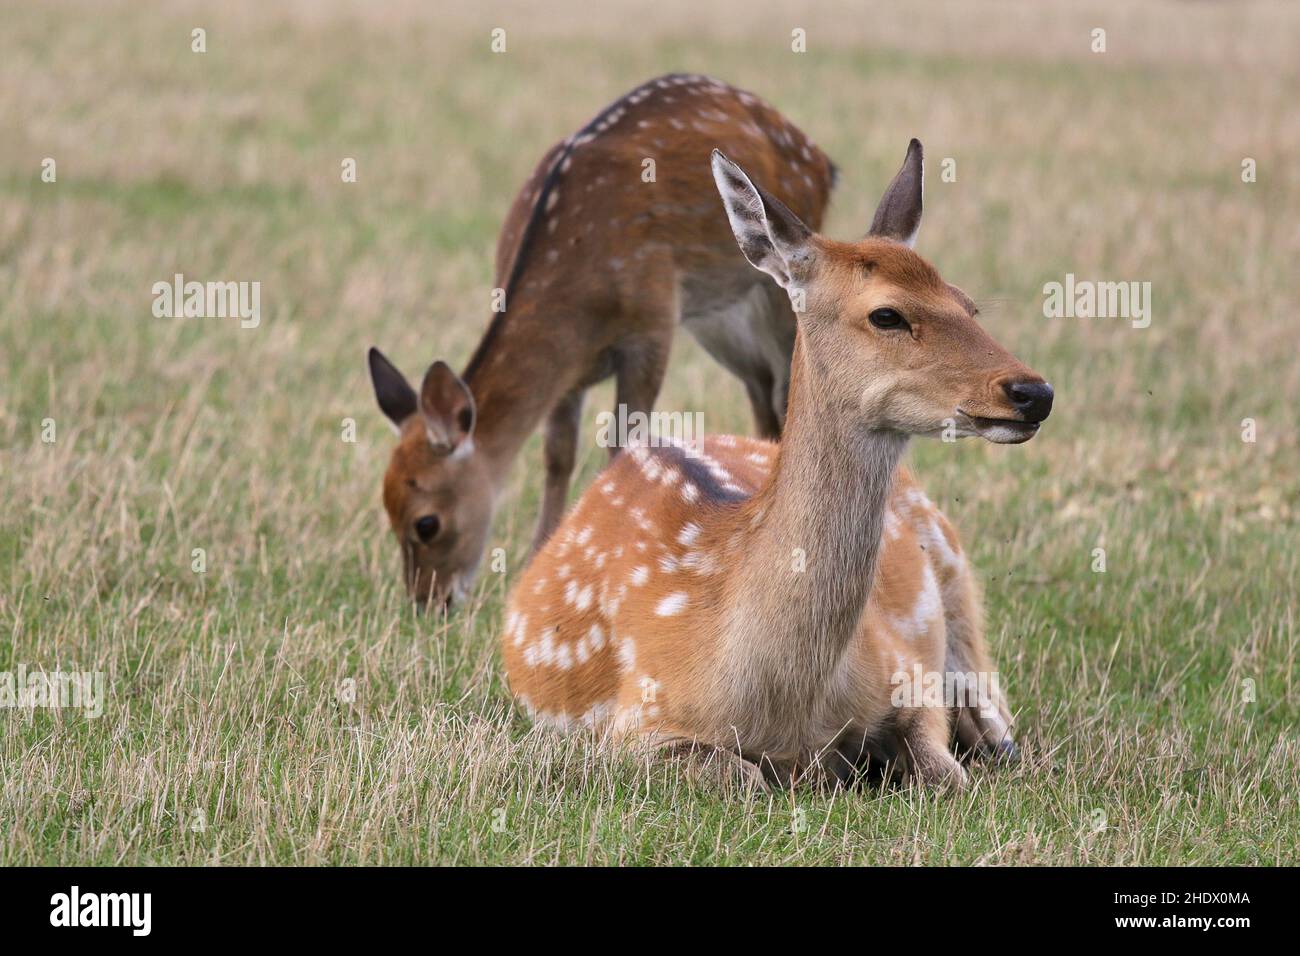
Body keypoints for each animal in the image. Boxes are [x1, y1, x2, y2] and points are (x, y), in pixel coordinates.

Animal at [364, 78, 842, 608]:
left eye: (426, 523)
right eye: (386, 509)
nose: (429, 603)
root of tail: (820, 157)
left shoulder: (653, 324)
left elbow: (623, 447)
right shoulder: (568, 376)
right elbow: (557, 456)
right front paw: (537, 565)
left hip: (776, 294)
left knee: (785, 392)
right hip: (722, 320)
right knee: (763, 394)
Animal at [496, 138, 1055, 790]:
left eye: (968, 304)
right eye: (886, 314)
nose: (1033, 392)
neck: (787, 701)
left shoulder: (906, 672)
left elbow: (949, 774)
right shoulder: (636, 721)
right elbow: (749, 778)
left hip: (952, 560)